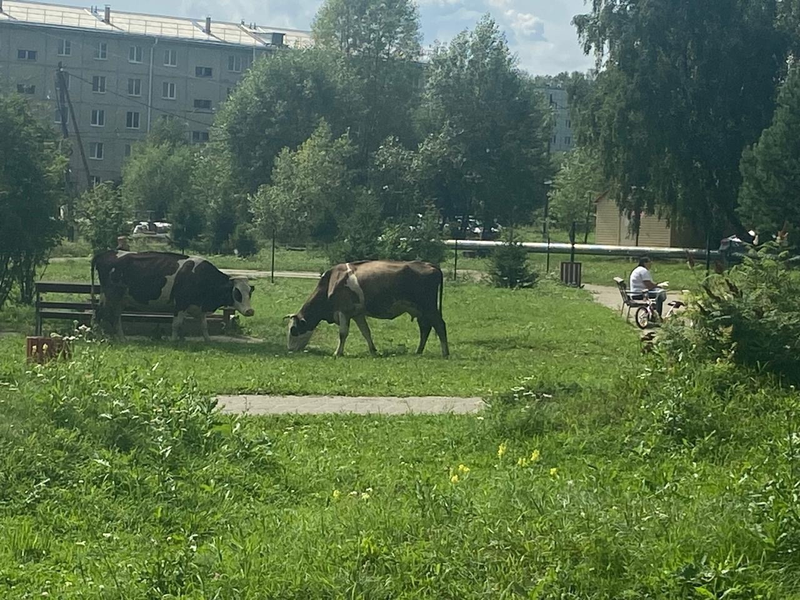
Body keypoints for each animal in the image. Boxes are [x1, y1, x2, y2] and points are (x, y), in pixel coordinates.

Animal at [90, 250, 255, 342]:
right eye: (237, 293)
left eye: (249, 293)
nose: (250, 311)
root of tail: (105, 254)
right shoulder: (181, 303)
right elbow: (176, 323)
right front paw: (174, 340)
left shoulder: (199, 307)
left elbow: (203, 325)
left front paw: (208, 340)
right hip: (110, 295)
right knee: (100, 314)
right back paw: (96, 337)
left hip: (118, 299)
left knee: (114, 317)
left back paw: (122, 338)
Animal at [288, 258, 450, 356]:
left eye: (293, 330)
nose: (289, 349)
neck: (332, 282)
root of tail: (430, 265)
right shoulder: (357, 314)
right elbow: (366, 332)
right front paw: (373, 350)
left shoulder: (343, 311)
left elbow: (343, 333)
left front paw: (337, 353)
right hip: (420, 310)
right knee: (425, 328)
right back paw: (418, 351)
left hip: (429, 307)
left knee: (439, 325)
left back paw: (445, 352)